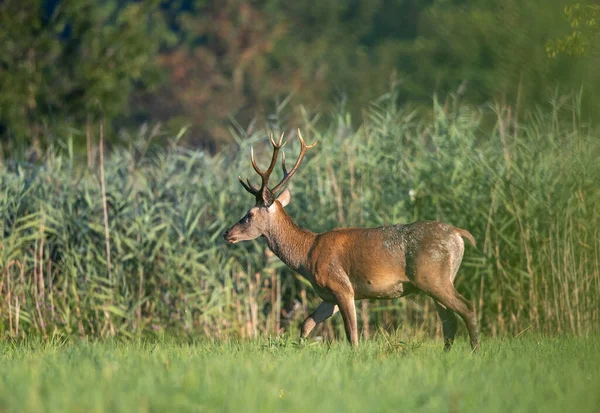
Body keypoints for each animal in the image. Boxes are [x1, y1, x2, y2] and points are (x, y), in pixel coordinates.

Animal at [223, 130, 480, 350]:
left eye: (249, 214)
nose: (227, 233)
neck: (306, 255)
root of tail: (458, 233)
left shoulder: (341, 285)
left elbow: (352, 334)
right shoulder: (328, 296)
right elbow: (306, 323)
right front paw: (299, 350)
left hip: (432, 276)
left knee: (467, 308)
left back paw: (475, 350)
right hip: (438, 279)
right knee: (449, 320)